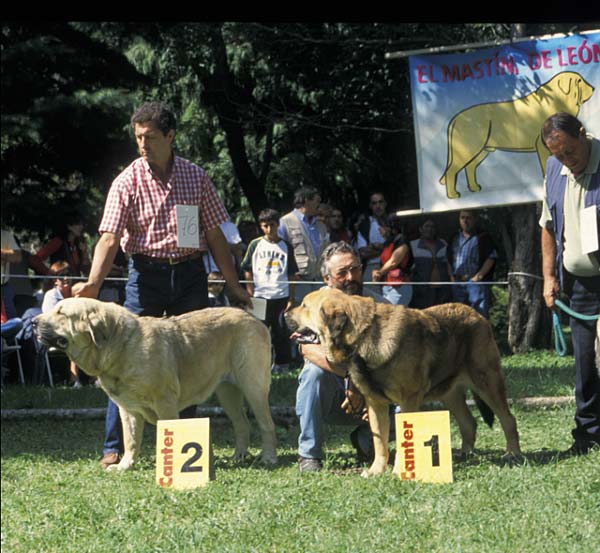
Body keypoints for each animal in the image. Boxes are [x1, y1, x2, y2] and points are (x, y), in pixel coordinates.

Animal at [36, 298, 280, 470]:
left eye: (61, 313)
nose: (33, 322)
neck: (121, 347)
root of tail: (254, 318)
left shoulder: (165, 404)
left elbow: (169, 435)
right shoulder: (128, 410)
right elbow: (131, 440)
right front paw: (125, 466)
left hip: (253, 387)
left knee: (266, 424)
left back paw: (268, 457)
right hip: (227, 392)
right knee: (242, 424)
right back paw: (239, 456)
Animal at [286, 288, 520, 474]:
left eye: (304, 306)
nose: (285, 313)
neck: (364, 336)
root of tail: (478, 315)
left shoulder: (408, 401)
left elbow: (403, 440)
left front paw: (401, 470)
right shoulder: (376, 404)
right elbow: (379, 442)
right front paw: (376, 471)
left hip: (487, 382)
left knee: (508, 419)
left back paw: (512, 454)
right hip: (449, 393)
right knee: (469, 422)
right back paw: (464, 454)